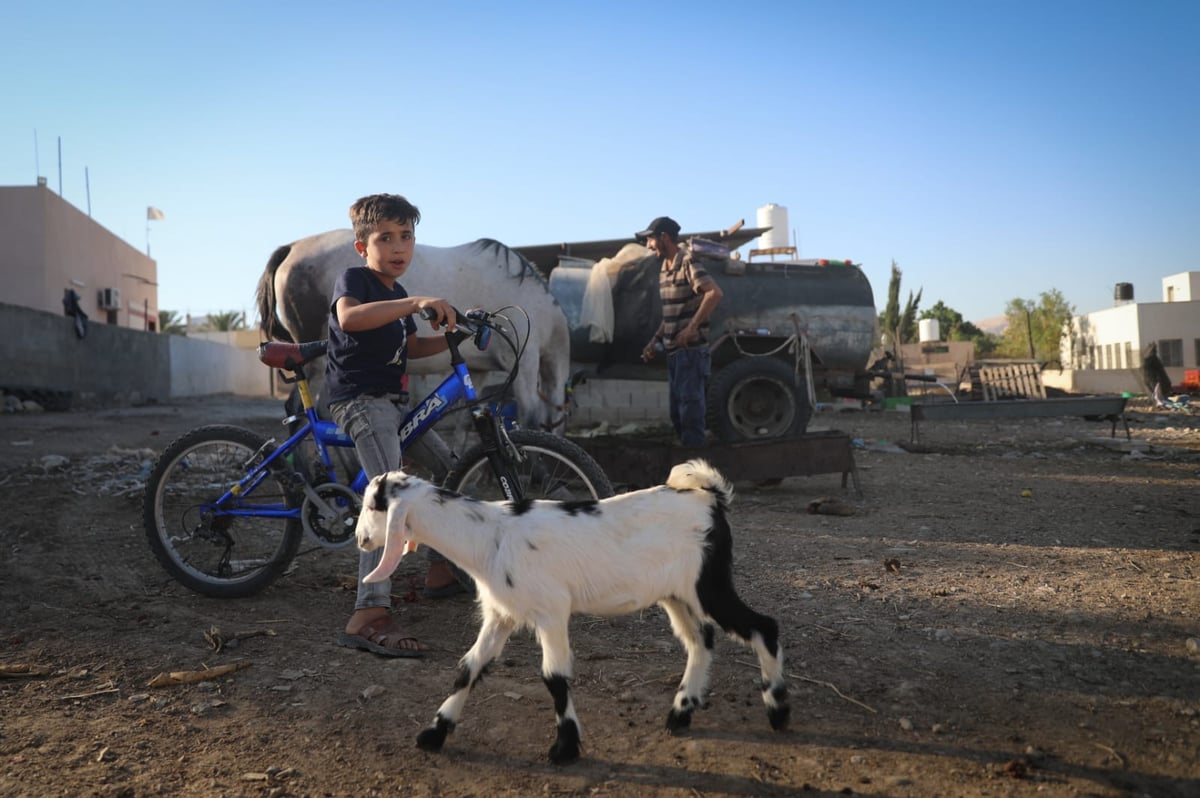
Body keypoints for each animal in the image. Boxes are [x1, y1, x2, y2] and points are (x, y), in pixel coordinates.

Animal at [254, 226, 571, 432]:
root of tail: (292, 247)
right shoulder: (526, 360)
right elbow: (530, 414)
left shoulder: (478, 371)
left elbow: (463, 424)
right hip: (317, 363)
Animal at [355, 458, 787, 763]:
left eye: (375, 506)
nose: (360, 540)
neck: (487, 536)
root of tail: (708, 496)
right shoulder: (501, 614)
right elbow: (469, 668)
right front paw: (434, 733)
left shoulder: (551, 611)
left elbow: (555, 677)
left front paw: (564, 748)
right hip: (676, 594)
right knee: (701, 640)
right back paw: (680, 714)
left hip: (707, 584)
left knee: (763, 627)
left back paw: (778, 710)